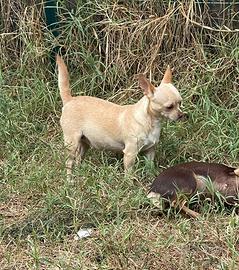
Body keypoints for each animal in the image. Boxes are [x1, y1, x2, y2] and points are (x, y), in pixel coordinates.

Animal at [56, 55, 185, 180]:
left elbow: (149, 167)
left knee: (78, 160)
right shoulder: (130, 154)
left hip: (84, 143)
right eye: (169, 107)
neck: (150, 121)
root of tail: (69, 99)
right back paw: (70, 180)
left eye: (180, 103)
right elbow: (129, 174)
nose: (181, 115)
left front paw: (151, 178)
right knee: (69, 163)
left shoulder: (150, 151)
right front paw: (129, 184)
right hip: (72, 143)